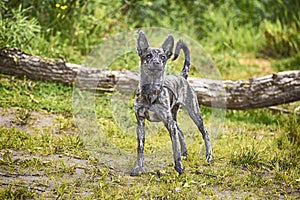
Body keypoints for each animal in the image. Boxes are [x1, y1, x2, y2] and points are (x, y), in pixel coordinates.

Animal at [131, 30, 213, 176]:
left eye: (163, 57)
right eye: (148, 55)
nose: (157, 62)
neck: (151, 91)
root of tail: (182, 76)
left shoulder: (169, 124)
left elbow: (175, 149)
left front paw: (179, 168)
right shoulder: (140, 123)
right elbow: (140, 148)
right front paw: (138, 168)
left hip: (194, 114)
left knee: (205, 133)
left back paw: (209, 156)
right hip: (174, 117)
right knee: (181, 132)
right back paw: (185, 153)